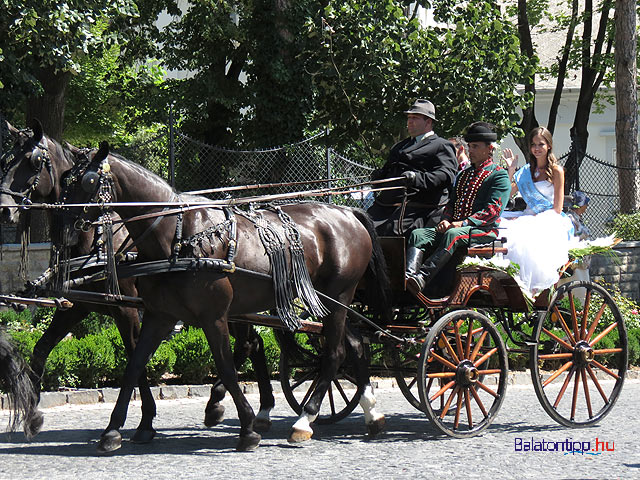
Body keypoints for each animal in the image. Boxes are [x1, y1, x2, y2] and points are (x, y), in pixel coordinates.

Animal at [0, 121, 276, 442]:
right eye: (5, 161)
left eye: (32, 161)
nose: (4, 208)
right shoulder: (78, 306)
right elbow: (42, 349)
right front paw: (32, 415)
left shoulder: (127, 309)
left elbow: (135, 356)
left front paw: (144, 420)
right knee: (255, 343)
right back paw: (257, 407)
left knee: (248, 344)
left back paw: (226, 402)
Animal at [61, 142, 390, 450]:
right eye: (65, 179)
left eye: (89, 181)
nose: (65, 227)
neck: (177, 236)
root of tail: (348, 212)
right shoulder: (160, 316)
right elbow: (133, 367)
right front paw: (114, 430)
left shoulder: (213, 316)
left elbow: (227, 368)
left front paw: (246, 428)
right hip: (329, 302)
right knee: (356, 345)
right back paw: (371, 413)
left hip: (339, 297)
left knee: (334, 354)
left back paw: (304, 419)